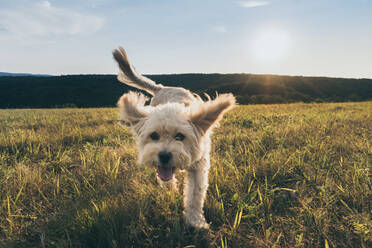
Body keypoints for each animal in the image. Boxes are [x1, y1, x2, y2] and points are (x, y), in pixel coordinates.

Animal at [113, 47, 235, 230]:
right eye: (154, 136)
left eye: (180, 136)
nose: (164, 156)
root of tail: (161, 87)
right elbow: (167, 181)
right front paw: (171, 194)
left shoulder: (199, 167)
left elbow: (195, 195)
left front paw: (195, 220)